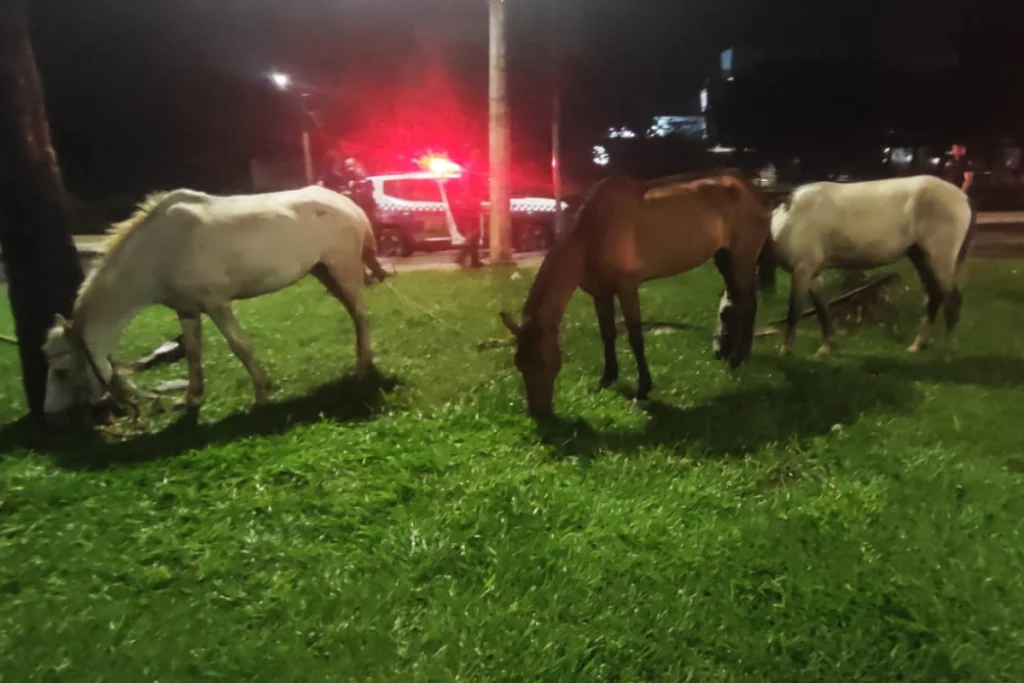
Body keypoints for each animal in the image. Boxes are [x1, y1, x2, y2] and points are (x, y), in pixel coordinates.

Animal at [40, 184, 387, 417]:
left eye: (61, 371)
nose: (49, 412)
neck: (157, 250)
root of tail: (347, 203)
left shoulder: (217, 303)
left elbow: (240, 346)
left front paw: (261, 395)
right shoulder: (187, 309)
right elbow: (193, 353)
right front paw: (189, 398)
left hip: (343, 269)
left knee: (361, 315)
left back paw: (362, 369)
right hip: (324, 272)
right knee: (356, 315)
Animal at [499, 169, 770, 417]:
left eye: (543, 362)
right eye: (518, 362)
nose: (538, 412)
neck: (592, 233)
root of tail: (754, 190)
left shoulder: (627, 288)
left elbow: (635, 338)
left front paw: (643, 390)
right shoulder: (601, 293)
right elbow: (607, 335)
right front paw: (607, 379)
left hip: (742, 258)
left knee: (747, 305)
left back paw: (735, 360)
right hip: (724, 258)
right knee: (740, 302)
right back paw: (739, 357)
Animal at [770, 175, 974, 358]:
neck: (787, 221)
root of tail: (962, 197)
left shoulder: (802, 269)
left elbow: (794, 310)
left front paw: (785, 350)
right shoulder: (813, 274)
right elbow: (822, 309)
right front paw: (828, 346)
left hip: (940, 259)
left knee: (952, 299)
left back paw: (950, 352)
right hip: (921, 258)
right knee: (934, 296)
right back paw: (918, 344)